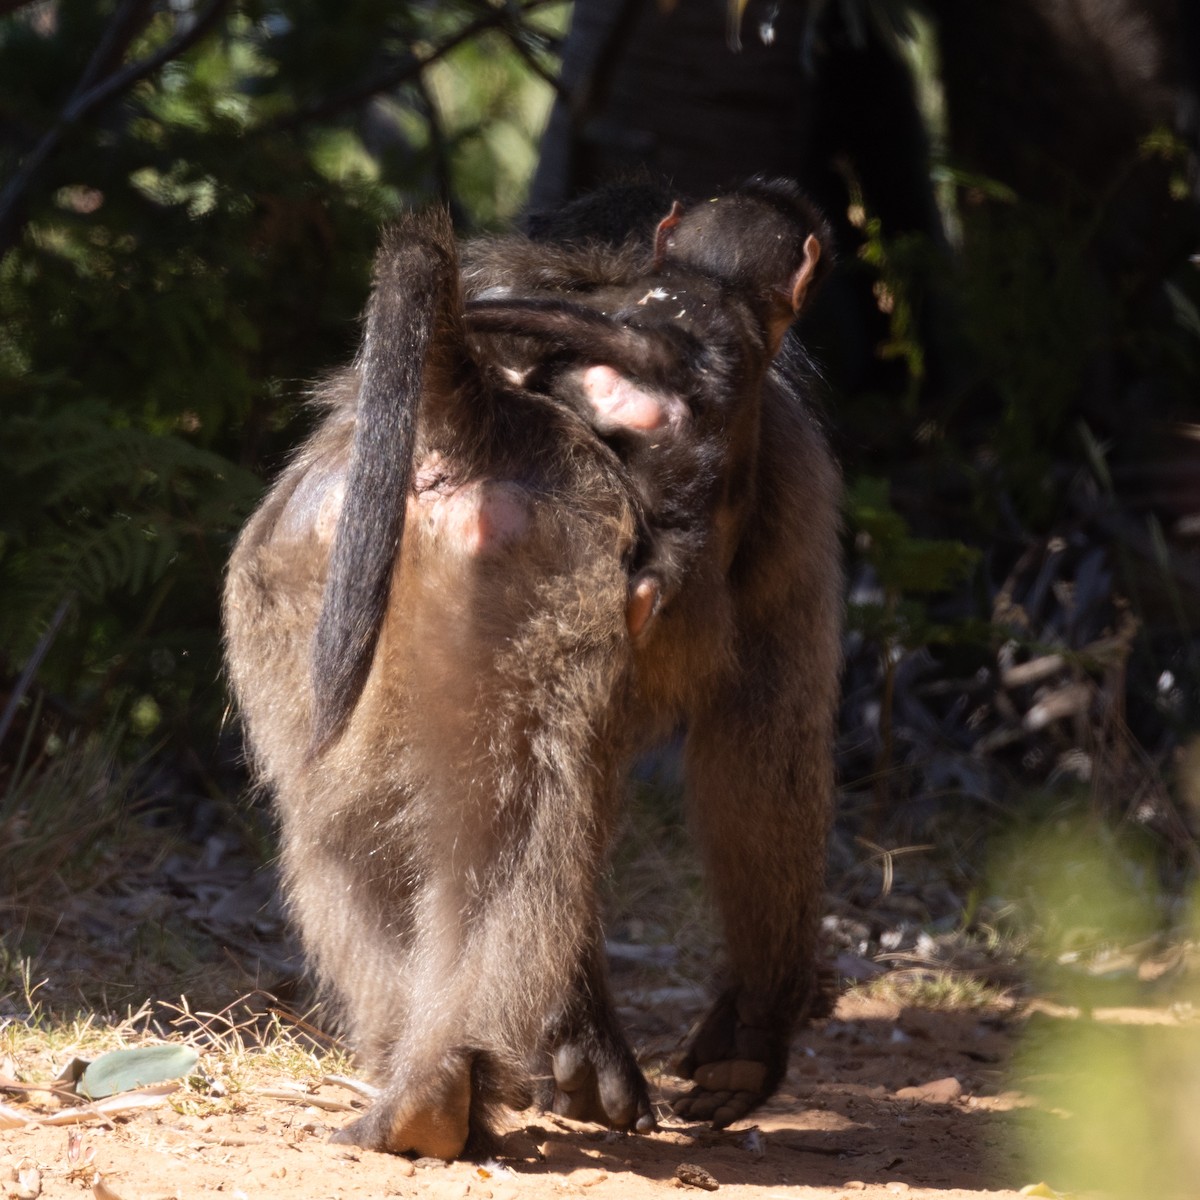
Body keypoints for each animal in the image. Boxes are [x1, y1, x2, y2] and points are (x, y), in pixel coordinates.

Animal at [222, 181, 842, 1158]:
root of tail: (468, 412)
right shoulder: (794, 468)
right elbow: (763, 750)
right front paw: (749, 1044)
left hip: (302, 575)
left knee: (348, 824)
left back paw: (419, 1090)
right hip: (536, 558)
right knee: (521, 808)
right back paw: (445, 1087)